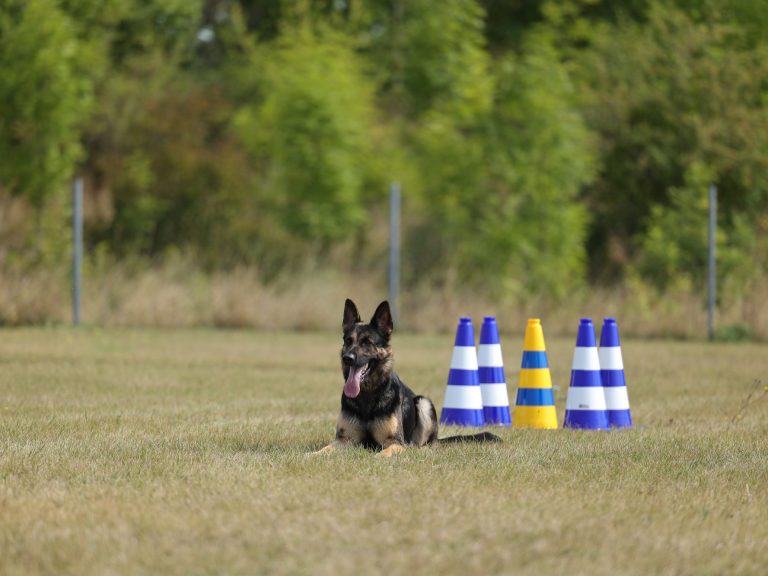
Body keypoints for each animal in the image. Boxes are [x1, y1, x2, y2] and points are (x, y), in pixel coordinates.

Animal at [314, 299, 500, 457]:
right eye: (348, 340)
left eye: (367, 342)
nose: (348, 358)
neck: (368, 395)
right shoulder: (344, 441)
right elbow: (324, 450)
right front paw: (313, 456)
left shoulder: (395, 442)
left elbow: (384, 452)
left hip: (423, 402)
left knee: (424, 445)